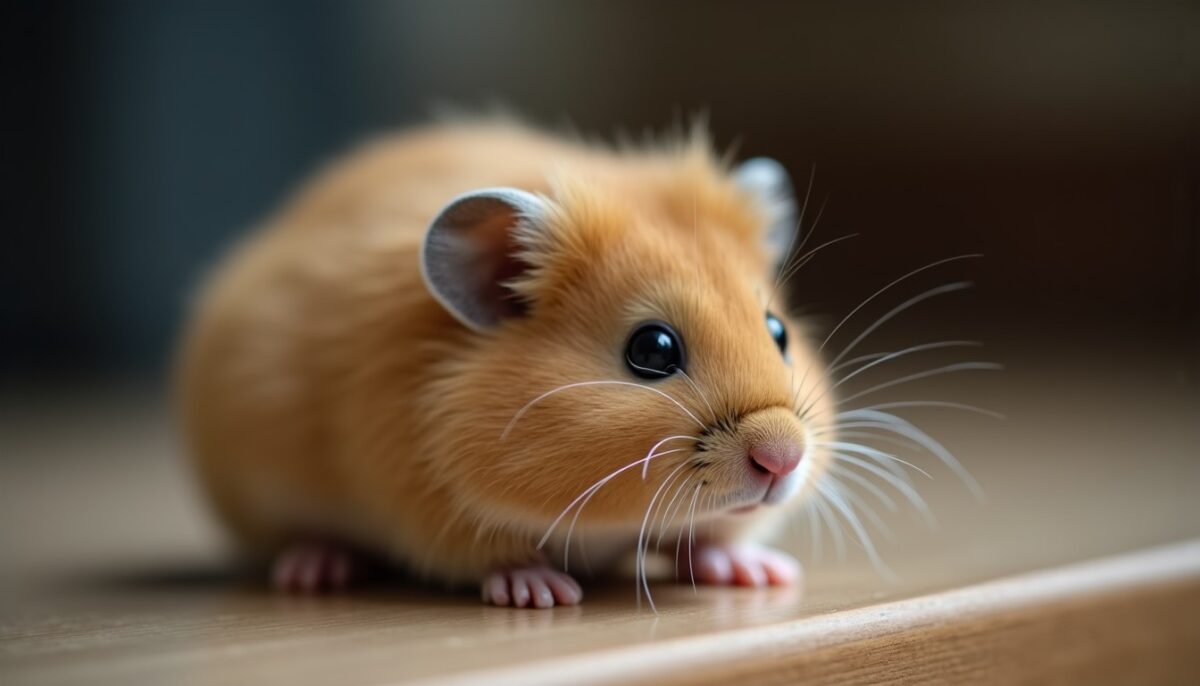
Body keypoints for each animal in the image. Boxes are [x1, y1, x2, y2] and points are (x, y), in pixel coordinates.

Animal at [176, 122, 836, 608]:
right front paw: (544, 593)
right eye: (652, 350)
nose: (783, 459)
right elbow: (494, 555)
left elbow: (710, 539)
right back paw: (315, 569)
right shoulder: (431, 507)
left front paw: (763, 572)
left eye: (778, 331)